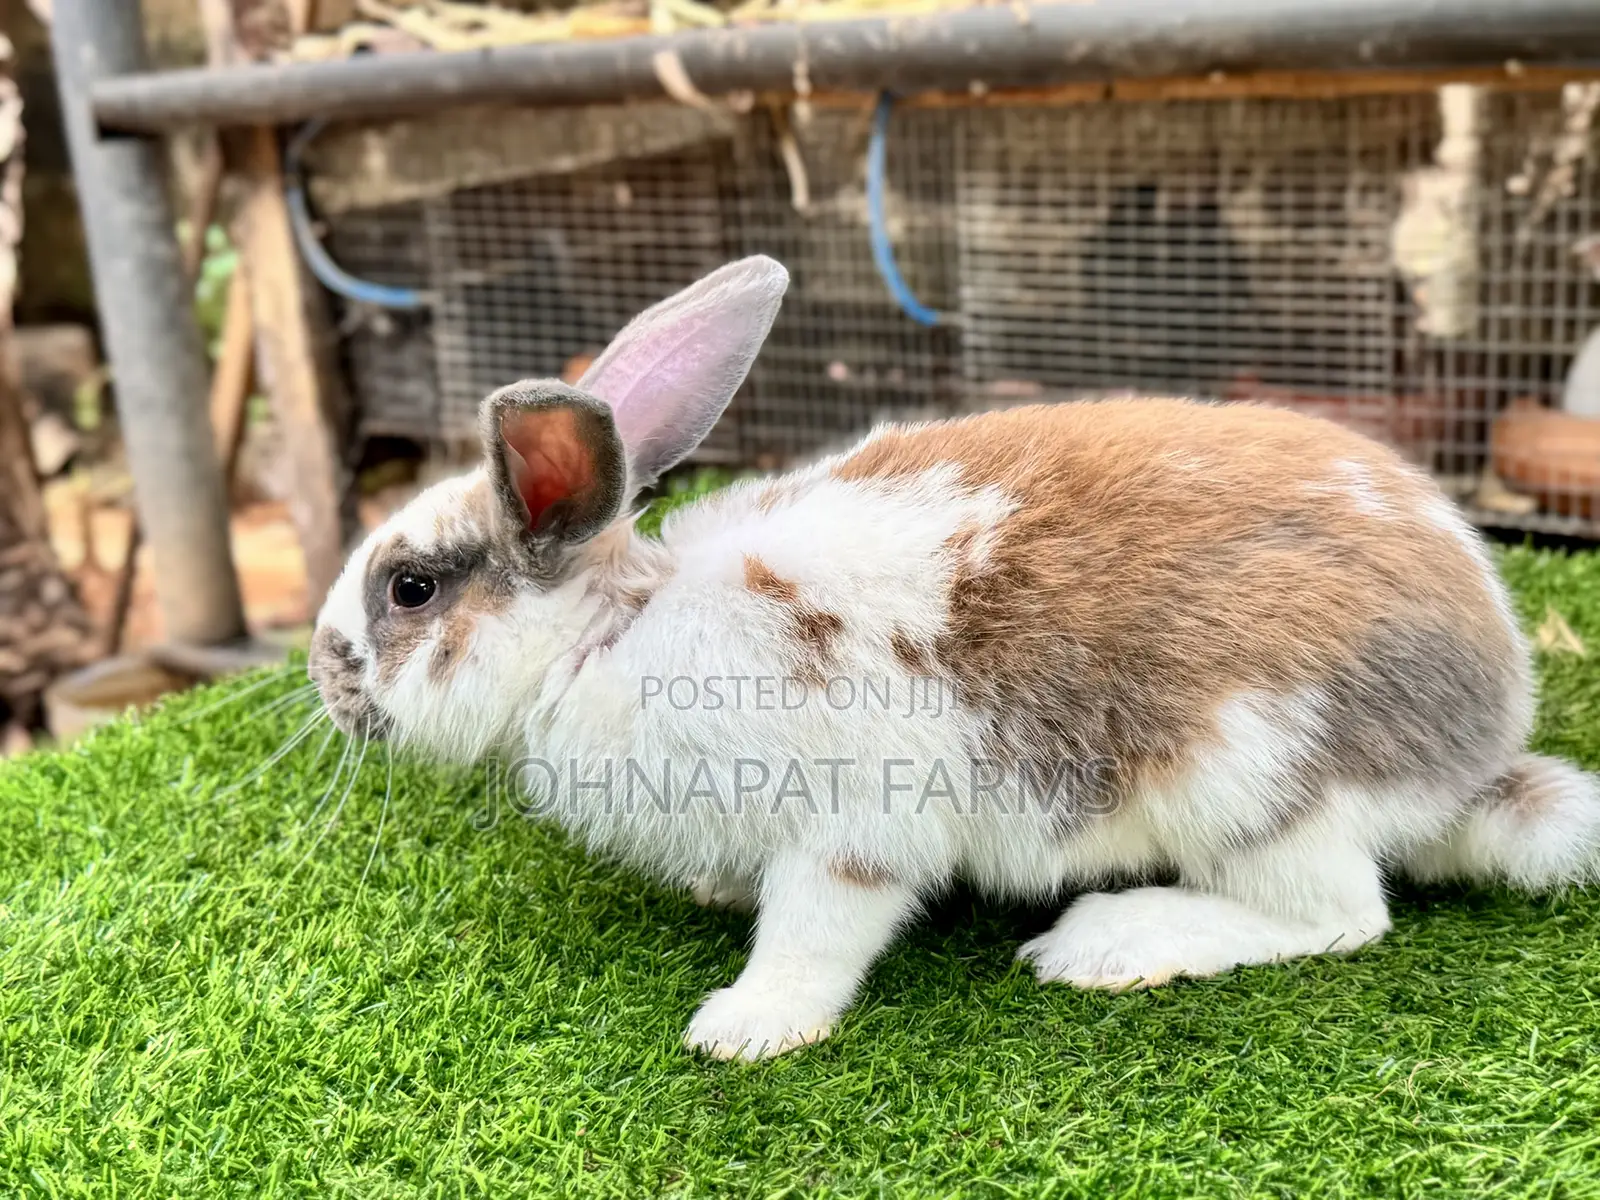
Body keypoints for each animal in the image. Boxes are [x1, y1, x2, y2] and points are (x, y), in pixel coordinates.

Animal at [309, 255, 1600, 1061]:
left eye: (409, 589)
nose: (324, 674)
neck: (607, 637)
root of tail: (1475, 755)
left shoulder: (848, 832)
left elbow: (812, 938)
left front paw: (744, 1029)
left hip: (1248, 782)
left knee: (1337, 917)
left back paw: (1107, 945)